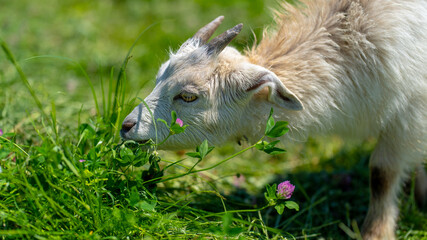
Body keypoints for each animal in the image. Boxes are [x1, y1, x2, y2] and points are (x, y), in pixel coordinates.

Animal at [121, 0, 427, 239]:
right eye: (159, 78)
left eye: (187, 96)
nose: (126, 126)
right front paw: (421, 199)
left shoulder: (411, 112)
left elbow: (382, 174)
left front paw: (376, 233)